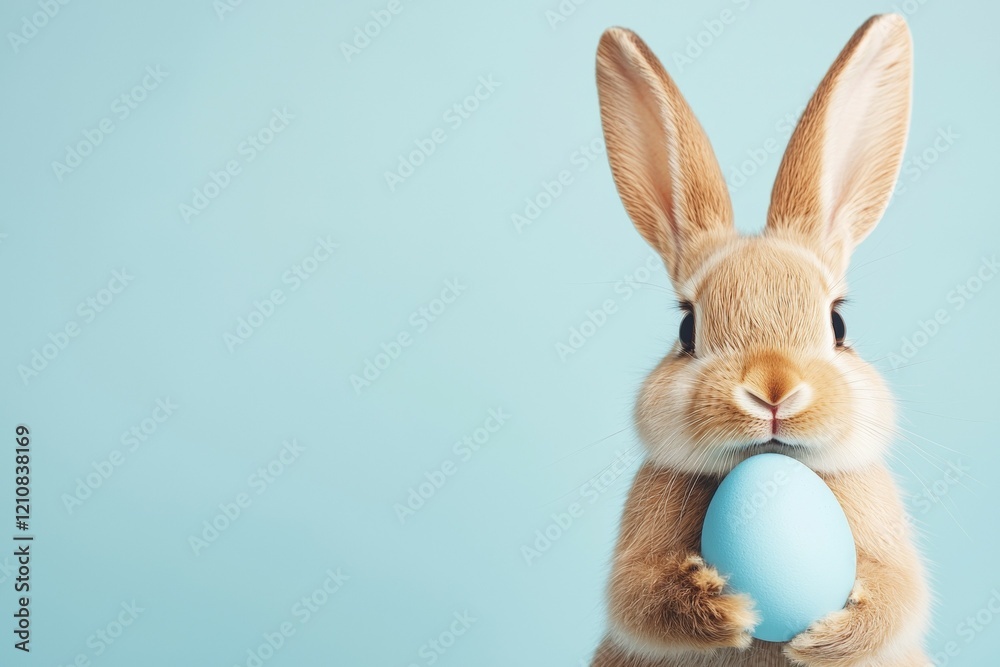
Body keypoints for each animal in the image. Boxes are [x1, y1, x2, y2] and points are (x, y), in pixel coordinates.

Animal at [590, 14, 931, 667]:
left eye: (839, 325)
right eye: (687, 328)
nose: (774, 391)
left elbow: (899, 594)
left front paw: (826, 634)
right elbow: (638, 596)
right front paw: (724, 607)